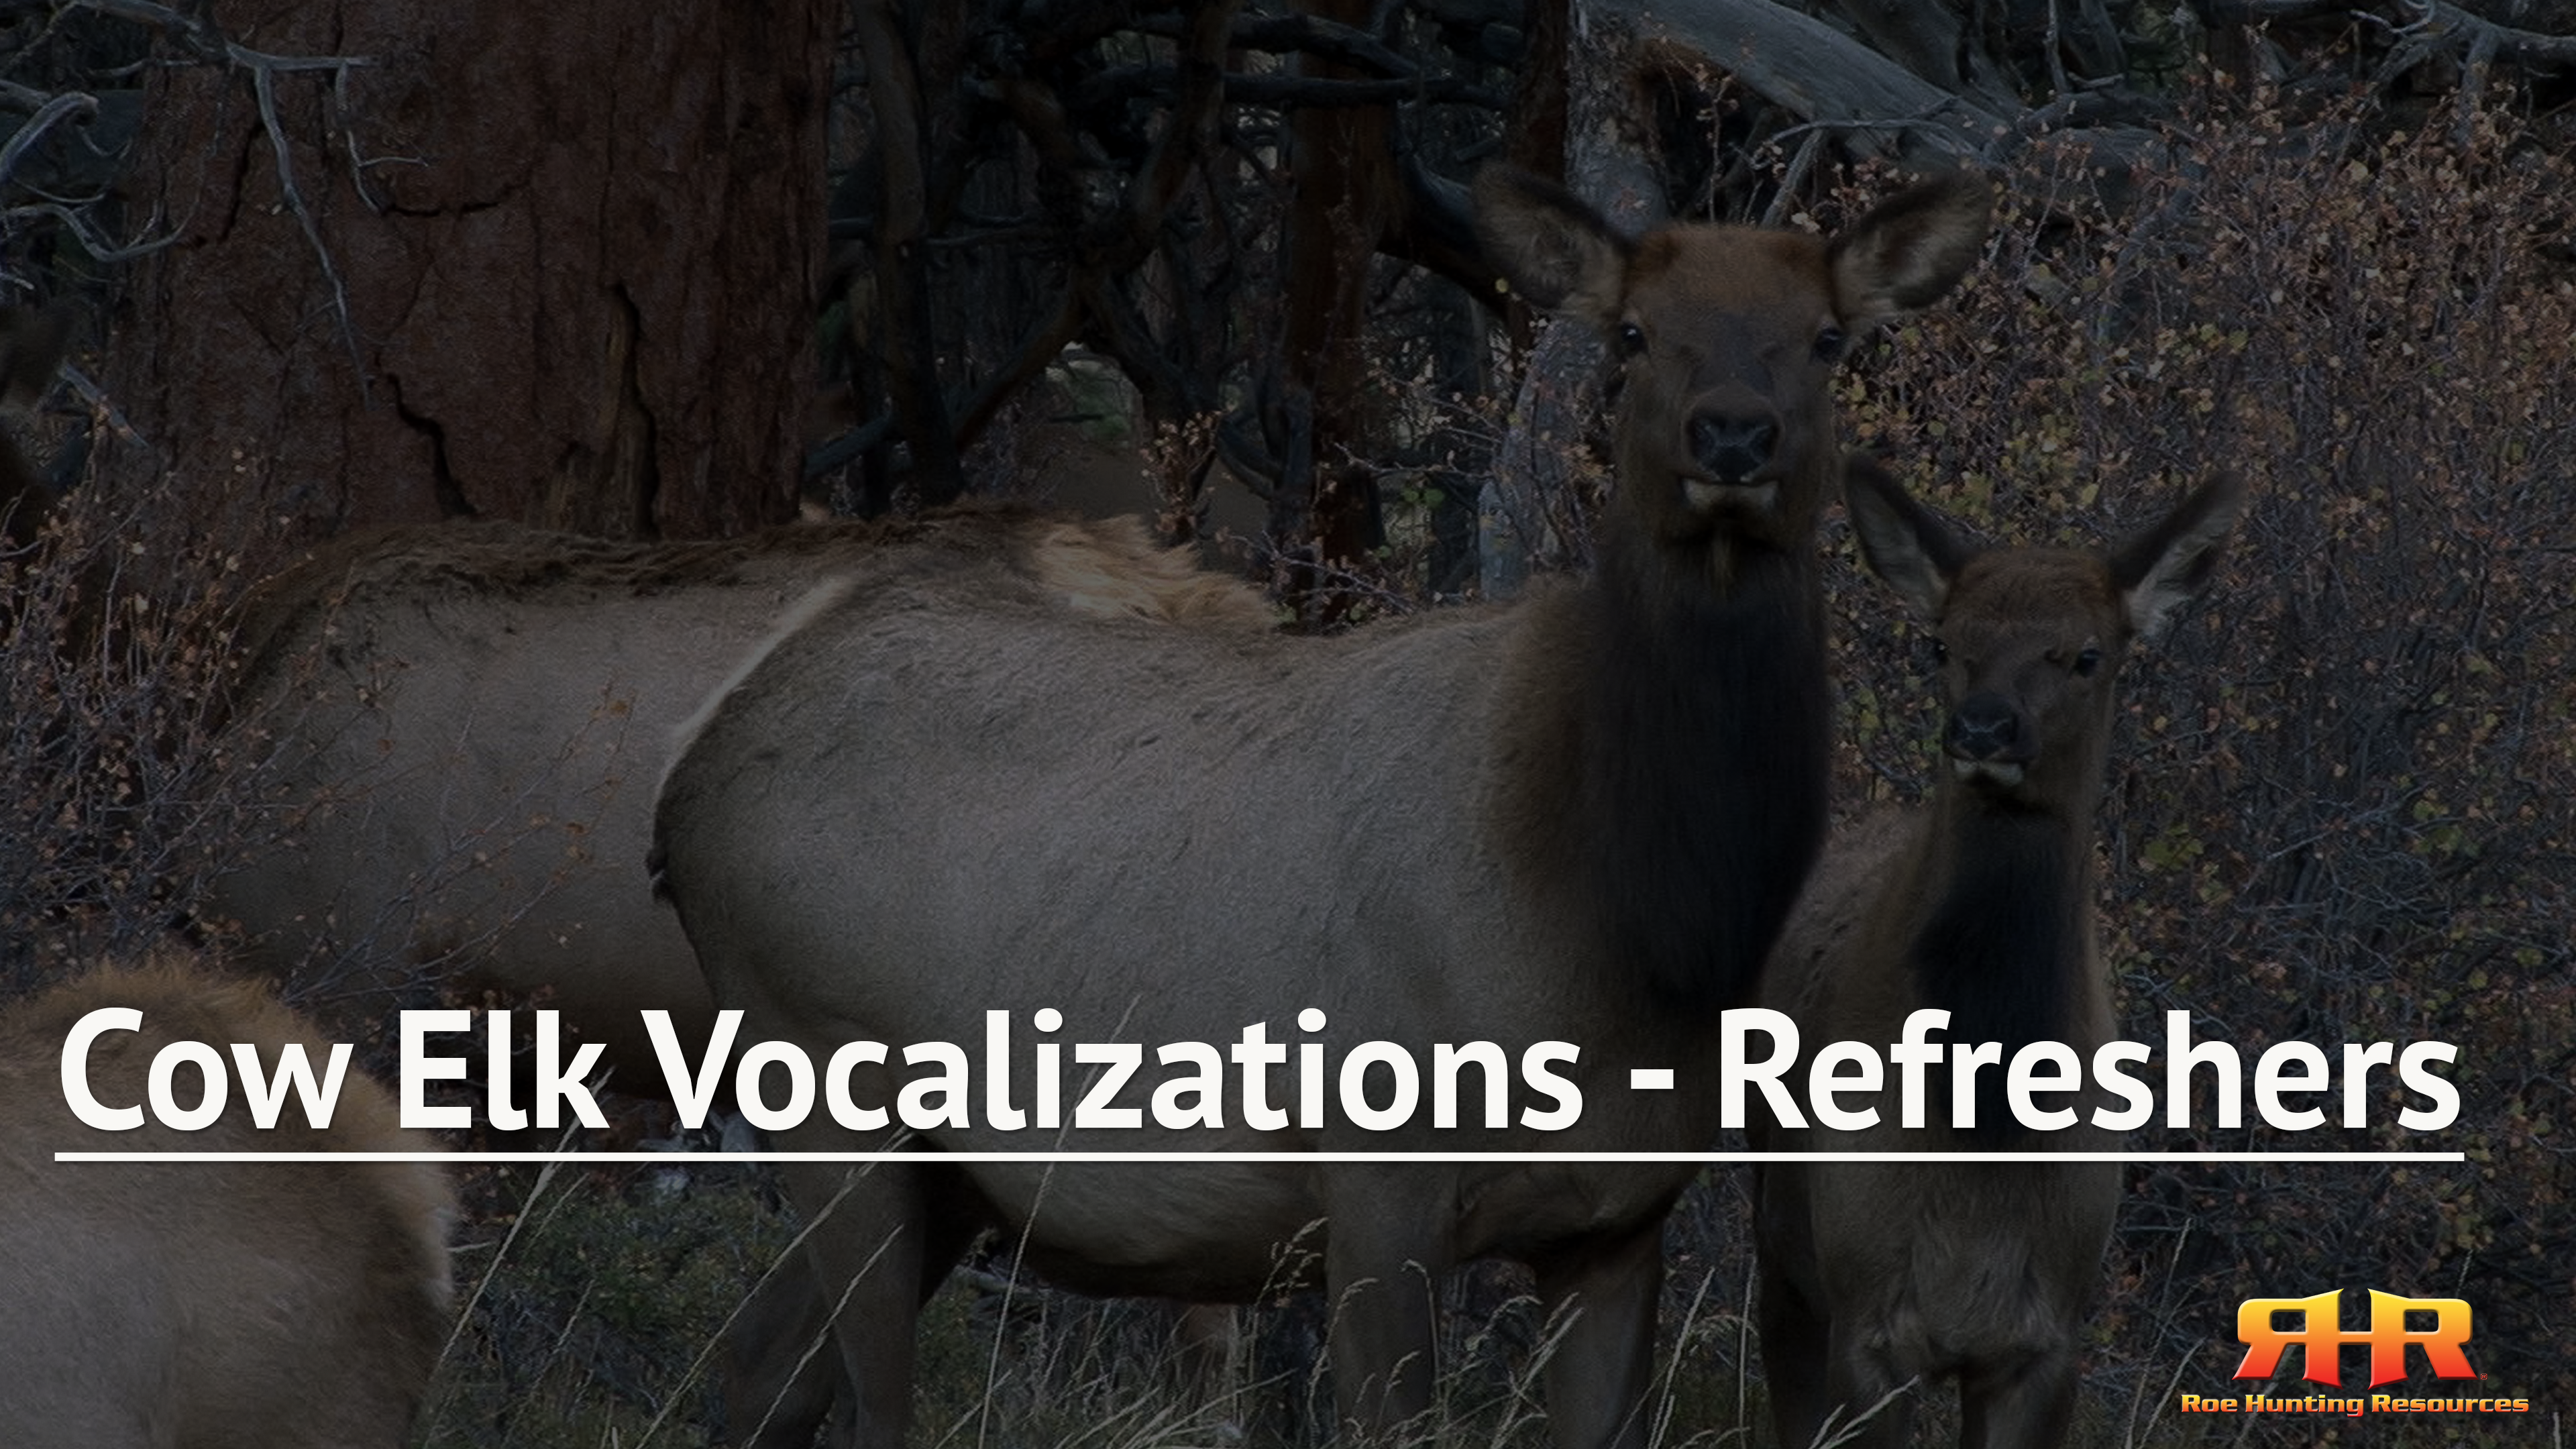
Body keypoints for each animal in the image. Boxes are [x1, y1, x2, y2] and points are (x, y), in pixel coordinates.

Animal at [647, 165, 1991, 1449]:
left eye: (1827, 336)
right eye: (1636, 331)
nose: (1732, 436)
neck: (1622, 926)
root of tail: (688, 782)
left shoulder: (1618, 1216)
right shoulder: (1375, 1180)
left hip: (945, 1175)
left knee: (758, 1368)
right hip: (824, 1078)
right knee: (864, 1402)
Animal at [1751, 458, 2245, 1447]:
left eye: (2087, 654)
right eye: (1941, 644)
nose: (1982, 728)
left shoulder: (2045, 1332)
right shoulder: (1864, 1307)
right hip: (1782, 1245)